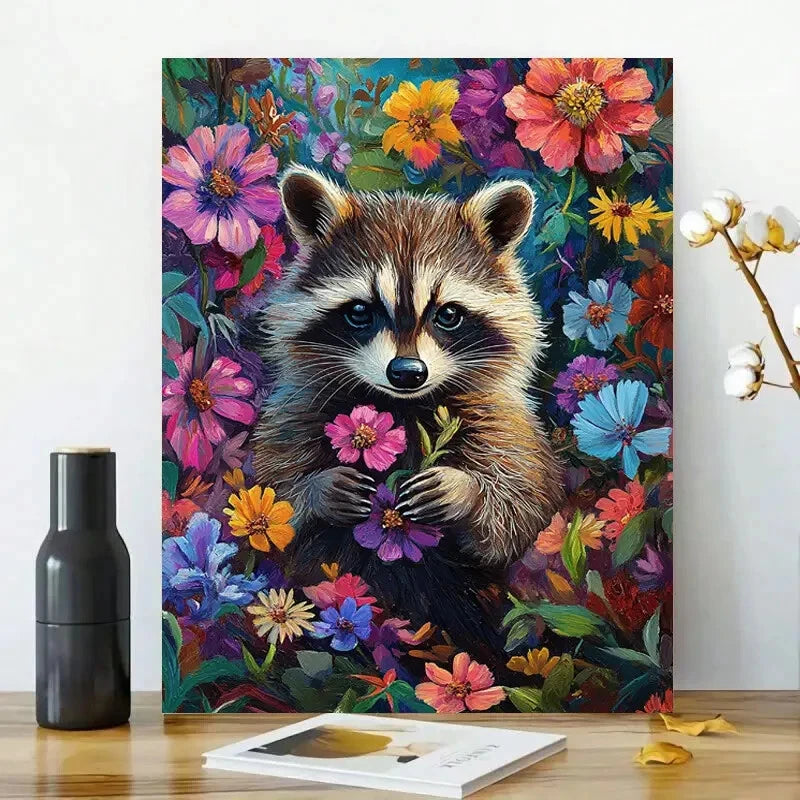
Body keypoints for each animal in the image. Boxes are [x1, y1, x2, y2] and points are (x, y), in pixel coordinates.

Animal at [253, 166, 563, 658]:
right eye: (360, 311)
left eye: (448, 314)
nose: (407, 372)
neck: (402, 406)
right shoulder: (296, 415)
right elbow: (271, 499)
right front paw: (319, 489)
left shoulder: (505, 426)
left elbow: (523, 509)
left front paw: (466, 493)